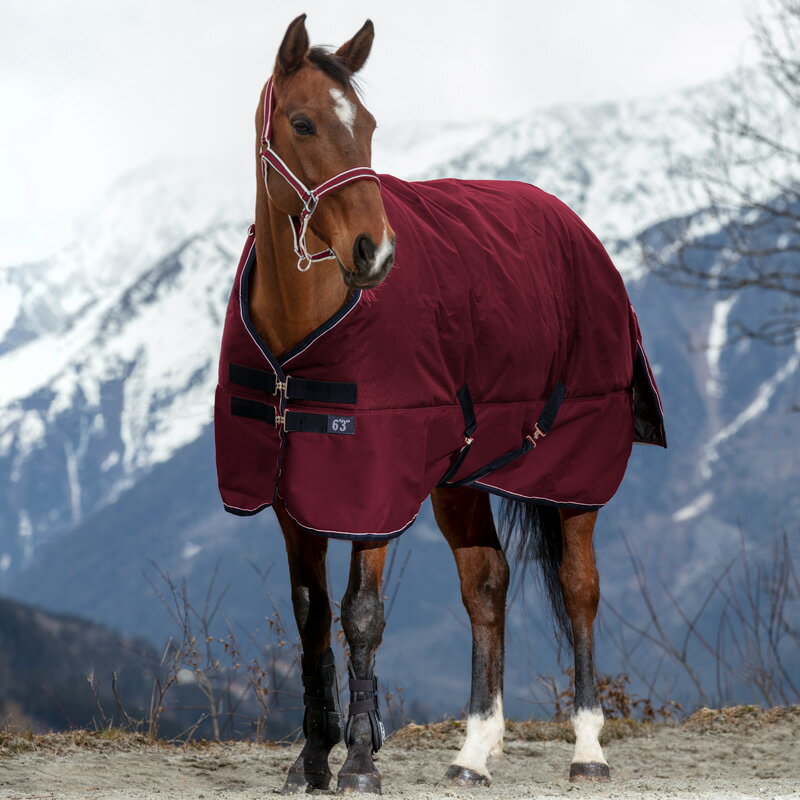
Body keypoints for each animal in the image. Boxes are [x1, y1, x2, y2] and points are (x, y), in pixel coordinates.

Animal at [213, 14, 666, 793]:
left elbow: (361, 617)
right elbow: (311, 617)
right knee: (486, 584)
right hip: (462, 477)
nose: (375, 252)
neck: (299, 339)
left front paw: (360, 764)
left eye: (367, 125)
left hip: (575, 473)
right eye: (302, 123)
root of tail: (574, 222)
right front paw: (312, 759)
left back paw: (587, 749)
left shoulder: (373, 492)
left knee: (580, 588)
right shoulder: (292, 496)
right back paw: (474, 752)